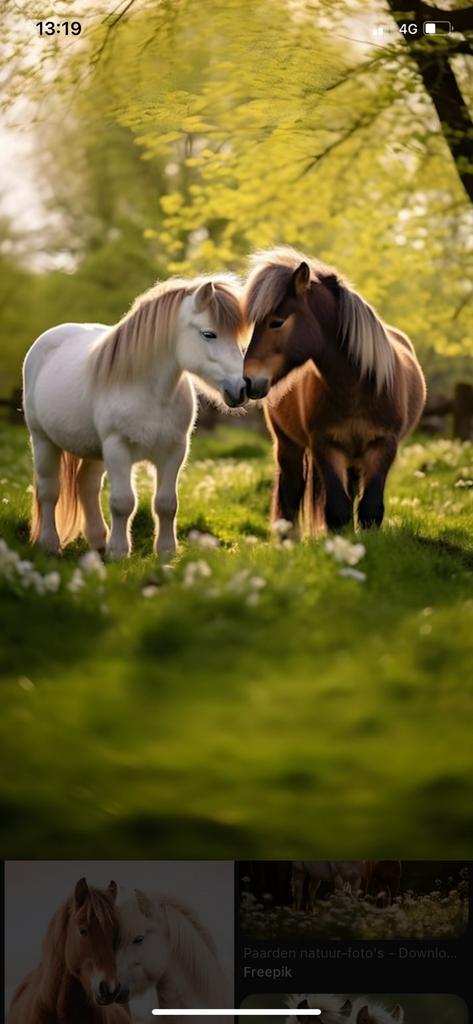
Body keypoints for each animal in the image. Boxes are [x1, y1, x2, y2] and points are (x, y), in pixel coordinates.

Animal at [23, 275, 247, 558]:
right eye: (209, 334)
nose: (243, 388)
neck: (150, 392)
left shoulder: (174, 451)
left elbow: (166, 504)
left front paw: (166, 553)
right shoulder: (117, 448)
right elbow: (122, 502)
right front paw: (119, 552)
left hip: (93, 451)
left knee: (87, 486)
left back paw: (98, 541)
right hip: (43, 441)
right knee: (49, 491)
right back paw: (50, 545)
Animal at [243, 248, 426, 537]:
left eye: (277, 322)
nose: (248, 380)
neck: (357, 388)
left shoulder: (384, 446)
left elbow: (369, 509)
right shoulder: (325, 446)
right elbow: (338, 510)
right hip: (288, 445)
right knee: (291, 492)